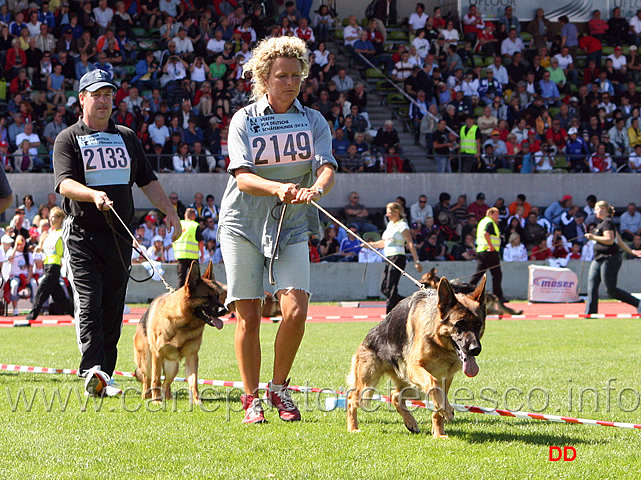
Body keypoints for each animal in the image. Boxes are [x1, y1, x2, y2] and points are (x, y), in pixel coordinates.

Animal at [132, 260, 228, 404]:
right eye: (206, 296)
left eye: (217, 296)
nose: (224, 310)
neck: (183, 324)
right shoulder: (157, 355)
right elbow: (156, 379)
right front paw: (156, 401)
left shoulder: (192, 357)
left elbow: (193, 382)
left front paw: (197, 401)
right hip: (147, 362)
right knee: (148, 379)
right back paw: (147, 395)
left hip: (173, 367)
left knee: (166, 383)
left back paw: (168, 397)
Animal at [344, 276, 484, 436]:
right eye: (459, 324)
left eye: (478, 324)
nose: (475, 349)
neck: (439, 344)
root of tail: (368, 337)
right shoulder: (415, 367)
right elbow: (433, 384)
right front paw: (446, 410)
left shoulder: (446, 378)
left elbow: (438, 406)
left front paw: (439, 433)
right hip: (369, 385)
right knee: (351, 399)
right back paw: (353, 428)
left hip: (413, 388)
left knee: (394, 395)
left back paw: (410, 422)